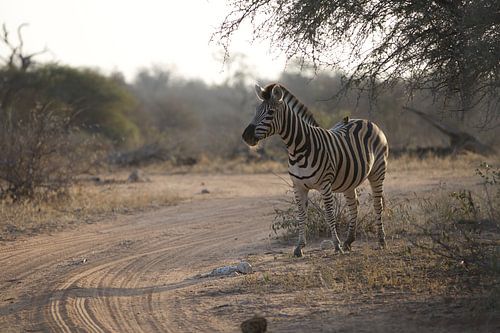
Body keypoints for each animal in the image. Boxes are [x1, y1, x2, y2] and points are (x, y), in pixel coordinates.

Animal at [242, 83, 390, 256]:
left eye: (270, 112)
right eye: (256, 111)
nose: (246, 136)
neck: (298, 149)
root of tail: (365, 121)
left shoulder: (325, 185)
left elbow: (329, 215)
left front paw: (336, 246)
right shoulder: (298, 186)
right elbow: (301, 215)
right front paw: (299, 247)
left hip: (378, 172)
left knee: (377, 204)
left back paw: (381, 241)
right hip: (349, 180)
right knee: (354, 205)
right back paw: (348, 241)